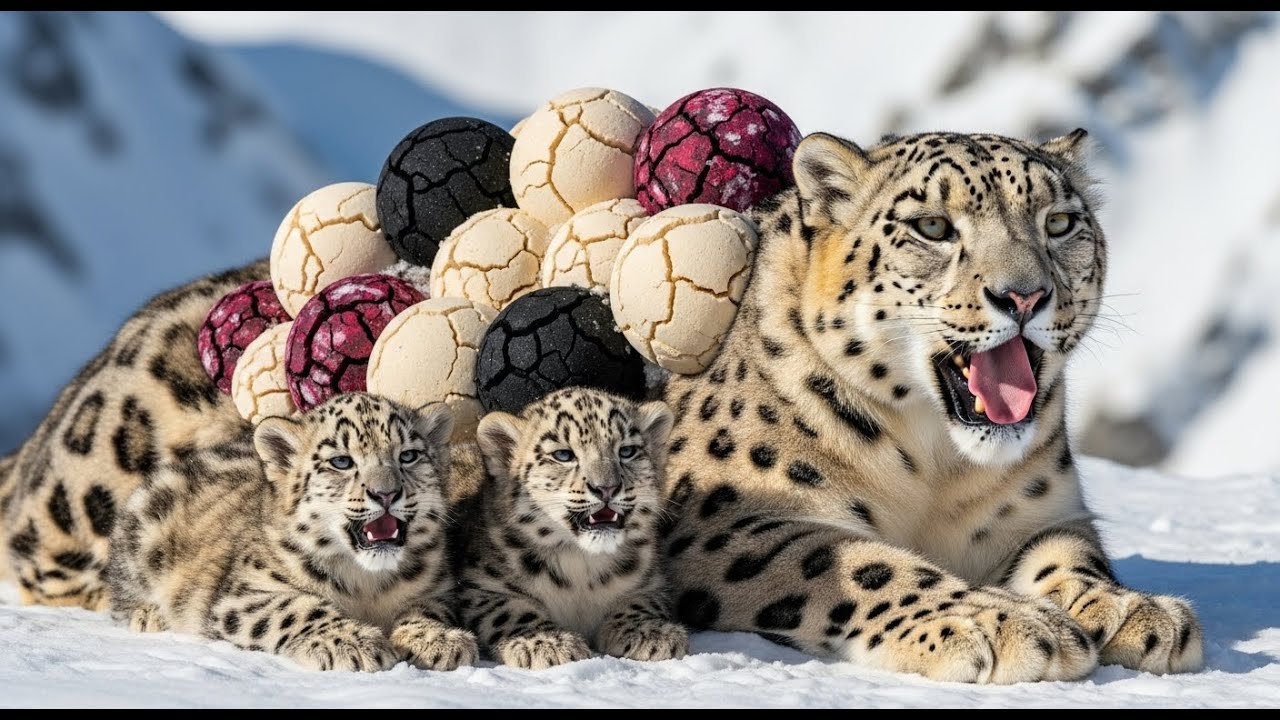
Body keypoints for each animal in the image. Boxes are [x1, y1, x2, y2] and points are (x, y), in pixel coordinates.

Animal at [106, 392, 477, 672]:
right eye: (341, 461)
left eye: (409, 455)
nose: (386, 493)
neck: (367, 585)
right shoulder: (245, 595)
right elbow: (296, 609)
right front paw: (352, 643)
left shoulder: (439, 589)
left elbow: (426, 609)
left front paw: (439, 640)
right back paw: (151, 615)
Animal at [456, 387, 688, 669]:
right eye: (563, 455)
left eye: (627, 451)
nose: (606, 488)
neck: (581, 568)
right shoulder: (481, 586)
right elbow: (511, 611)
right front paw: (547, 643)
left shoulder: (651, 582)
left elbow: (640, 603)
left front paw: (649, 633)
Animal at [658, 129, 1204, 683]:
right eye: (933, 226)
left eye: (1059, 222)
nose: (1025, 297)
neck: (936, 465)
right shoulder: (728, 518)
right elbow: (852, 563)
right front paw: (1003, 621)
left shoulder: (1041, 510)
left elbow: (1072, 554)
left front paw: (1130, 610)